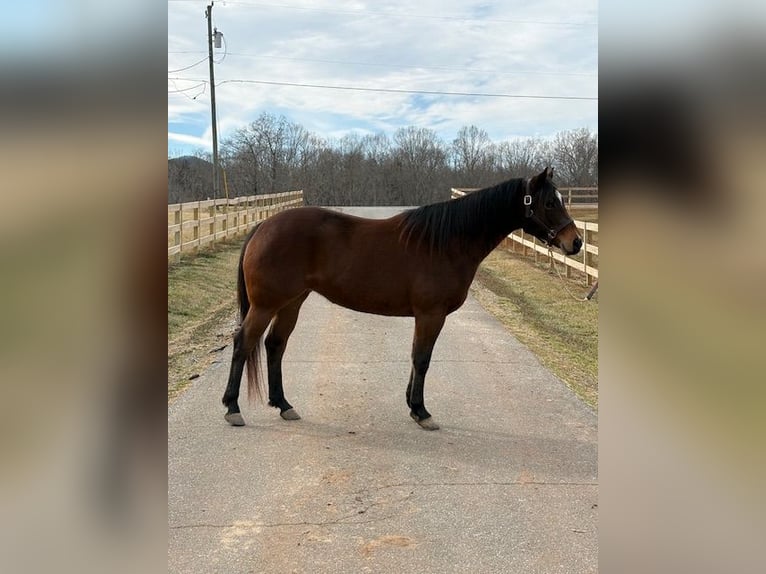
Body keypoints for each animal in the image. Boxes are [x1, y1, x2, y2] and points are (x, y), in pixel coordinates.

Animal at [222, 167, 582, 430]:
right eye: (550, 203)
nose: (575, 242)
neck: (447, 243)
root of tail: (263, 226)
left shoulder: (425, 317)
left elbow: (415, 357)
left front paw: (412, 405)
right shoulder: (431, 315)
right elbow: (422, 359)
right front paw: (422, 412)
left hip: (292, 302)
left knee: (275, 345)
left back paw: (284, 405)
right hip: (266, 305)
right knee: (244, 342)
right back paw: (232, 407)